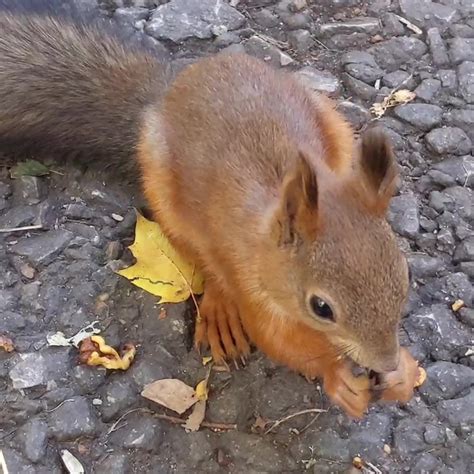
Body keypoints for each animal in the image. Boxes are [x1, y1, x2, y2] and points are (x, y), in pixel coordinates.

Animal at [0, 12, 418, 416]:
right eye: (321, 307)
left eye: (404, 275)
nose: (384, 361)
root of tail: (171, 87)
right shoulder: (249, 285)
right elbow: (280, 342)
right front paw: (337, 376)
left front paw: (403, 372)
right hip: (166, 198)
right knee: (205, 268)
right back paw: (219, 312)